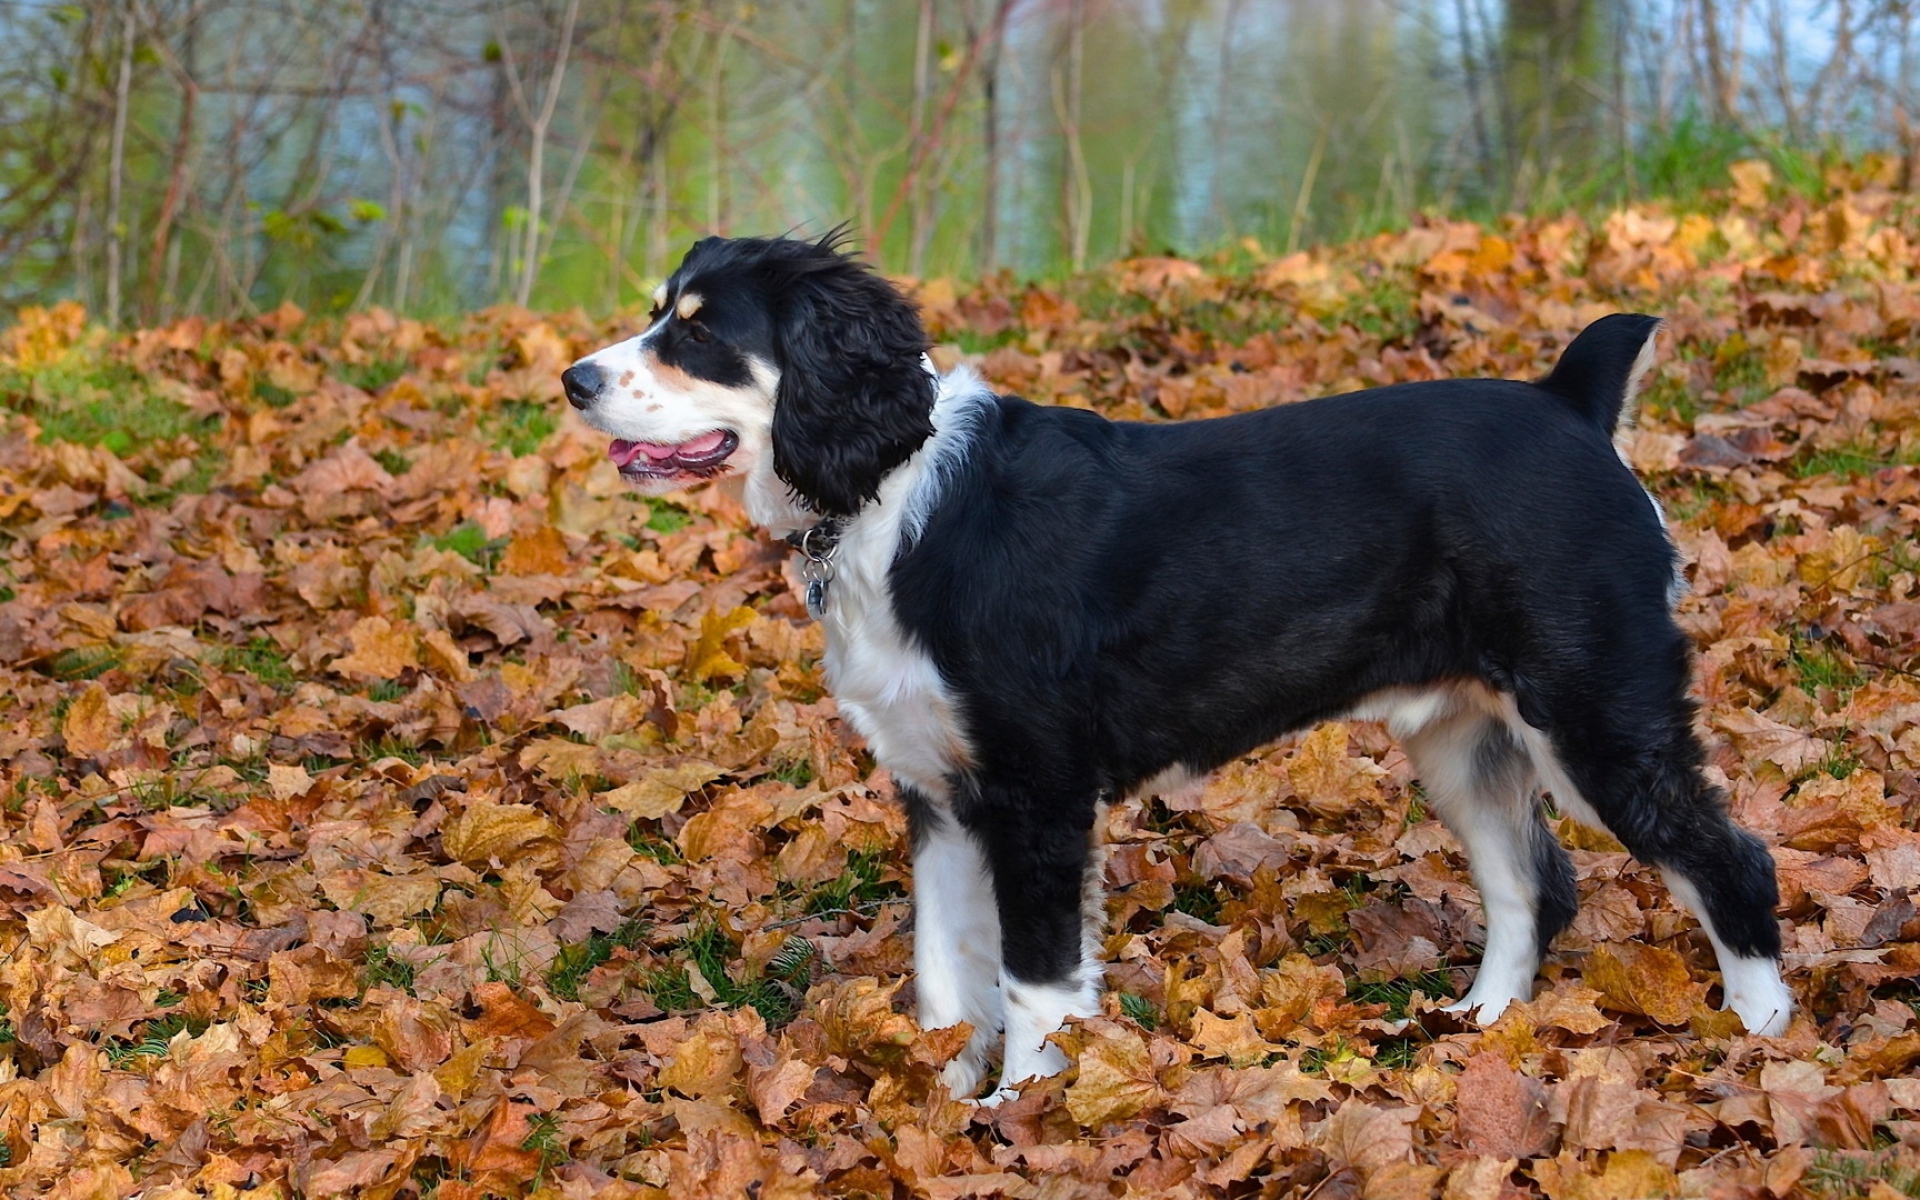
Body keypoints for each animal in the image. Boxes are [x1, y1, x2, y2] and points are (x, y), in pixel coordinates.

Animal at [560, 231, 1789, 1098]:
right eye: (659, 316)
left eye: (700, 334)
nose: (573, 380)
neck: (896, 493)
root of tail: (1569, 403)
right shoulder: (937, 788)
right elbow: (947, 971)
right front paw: (938, 1103)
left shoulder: (1037, 792)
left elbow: (1035, 978)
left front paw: (1022, 1116)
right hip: (1463, 738)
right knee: (1533, 882)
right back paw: (1481, 1025)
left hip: (1596, 713)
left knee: (1729, 861)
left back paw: (1758, 1041)